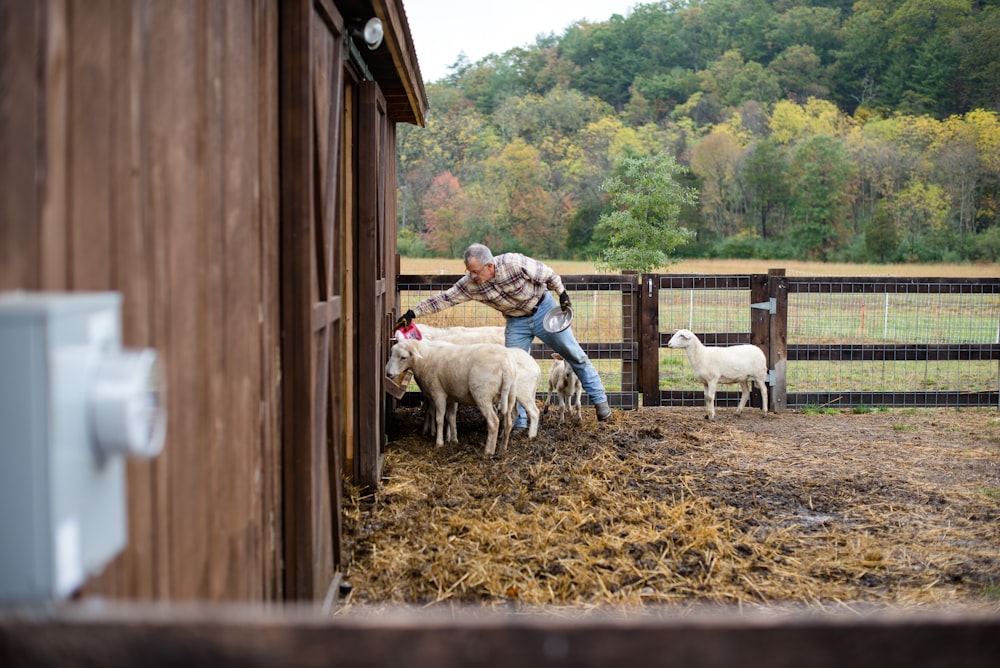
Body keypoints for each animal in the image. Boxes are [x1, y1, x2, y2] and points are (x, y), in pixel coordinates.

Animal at [384, 340, 520, 454]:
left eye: (403, 357)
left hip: (482, 394)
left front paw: (439, 443)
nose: (388, 374)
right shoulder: (453, 396)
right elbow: (451, 418)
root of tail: (506, 366)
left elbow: (439, 419)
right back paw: (503, 448)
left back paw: (489, 451)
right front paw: (454, 440)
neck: (426, 359)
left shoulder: (438, 393)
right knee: (508, 422)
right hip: (510, 395)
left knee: (494, 422)